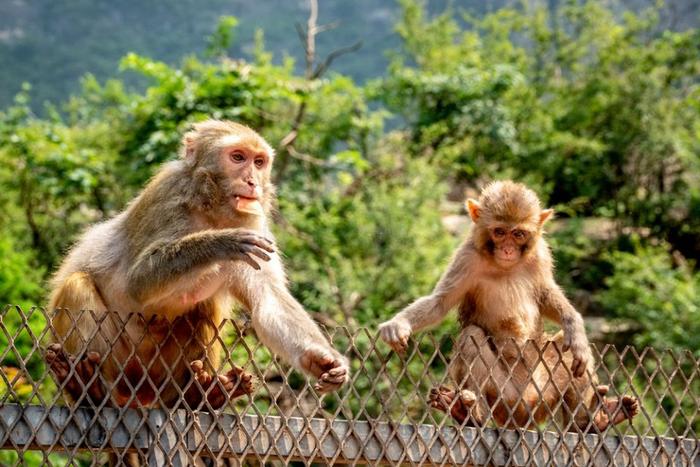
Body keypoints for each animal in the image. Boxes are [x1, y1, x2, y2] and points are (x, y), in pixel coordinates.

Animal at [46, 120, 348, 410]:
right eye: (238, 157)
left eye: (259, 162)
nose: (252, 181)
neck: (211, 209)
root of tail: (138, 394)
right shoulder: (165, 195)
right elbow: (137, 283)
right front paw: (221, 242)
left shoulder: (256, 223)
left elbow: (267, 299)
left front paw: (322, 359)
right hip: (118, 362)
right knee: (77, 285)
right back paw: (88, 388)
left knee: (203, 309)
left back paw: (198, 395)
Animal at [380, 181, 636, 434]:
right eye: (500, 232)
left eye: (518, 234)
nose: (508, 249)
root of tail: (521, 416)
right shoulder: (467, 258)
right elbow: (439, 303)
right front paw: (398, 324)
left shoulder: (540, 255)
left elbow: (546, 295)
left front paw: (575, 324)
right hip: (503, 397)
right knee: (472, 336)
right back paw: (468, 414)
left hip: (542, 393)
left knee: (569, 348)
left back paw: (592, 420)